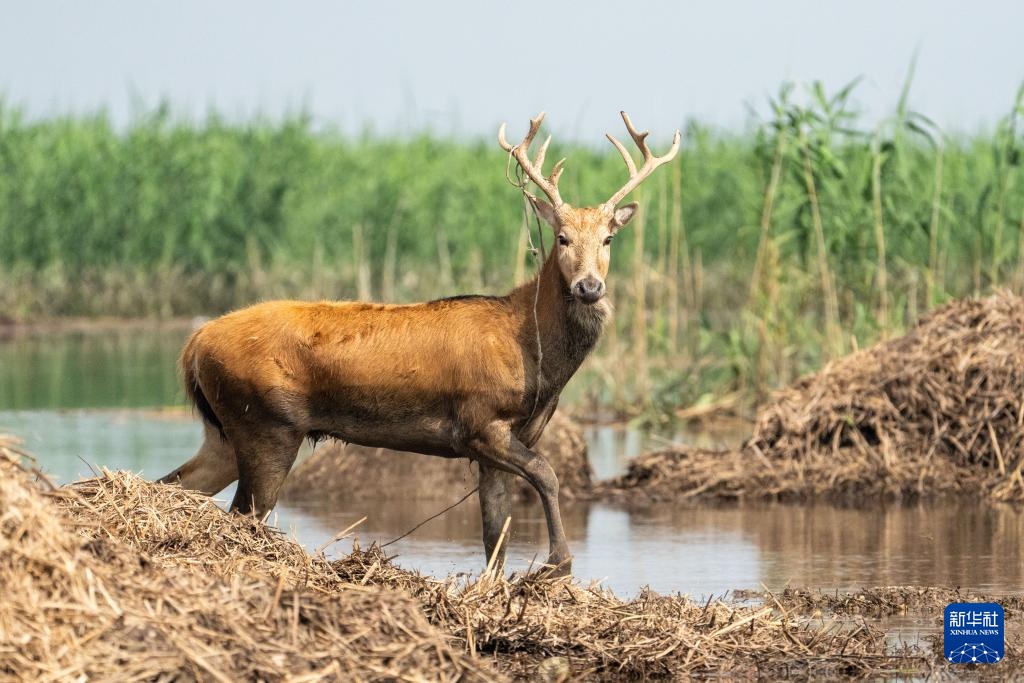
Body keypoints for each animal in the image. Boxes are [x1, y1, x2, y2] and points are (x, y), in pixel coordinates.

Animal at [158, 112, 680, 576]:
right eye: (563, 237)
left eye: (609, 239)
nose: (589, 287)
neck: (537, 359)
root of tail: (194, 344)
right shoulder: (480, 420)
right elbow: (547, 477)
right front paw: (558, 565)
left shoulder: (496, 442)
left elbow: (495, 534)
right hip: (267, 423)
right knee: (242, 513)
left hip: (226, 430)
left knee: (177, 482)